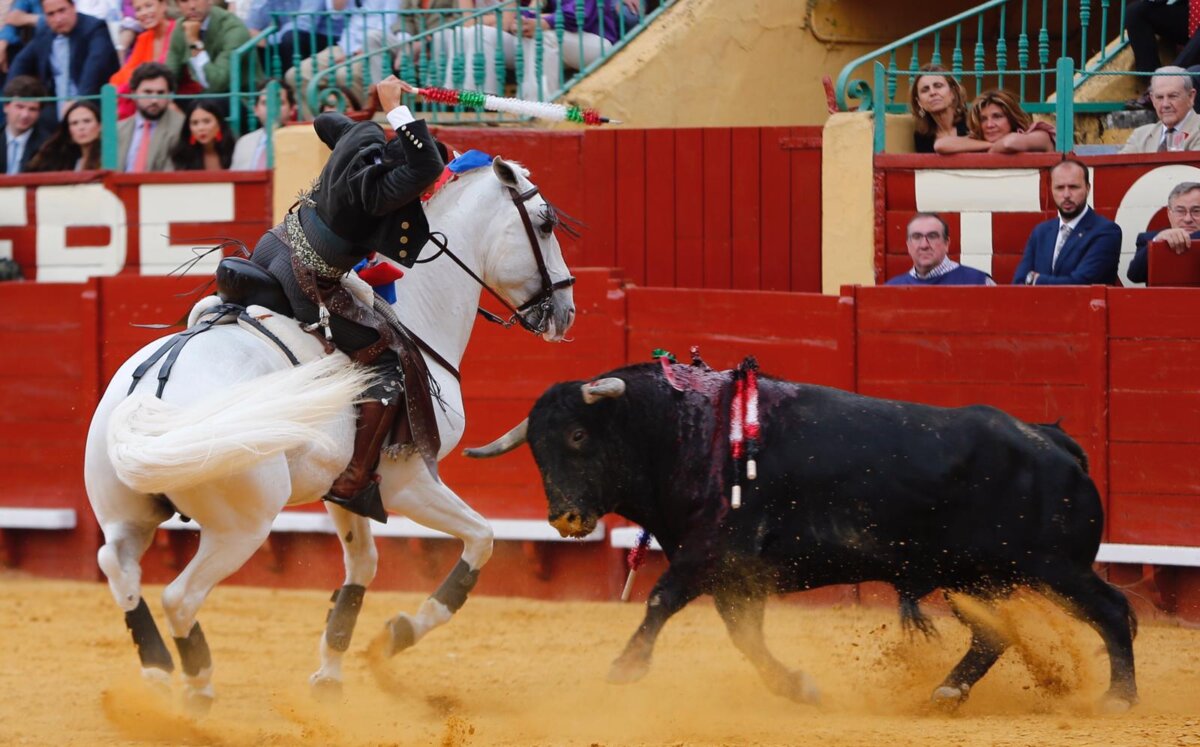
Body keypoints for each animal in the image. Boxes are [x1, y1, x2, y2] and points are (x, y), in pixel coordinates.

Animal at [83, 157, 576, 712]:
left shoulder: (347, 485)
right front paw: (399, 634)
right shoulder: (407, 480)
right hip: (242, 525)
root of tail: (158, 391)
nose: (566, 310)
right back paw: (197, 686)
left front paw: (331, 671)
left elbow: (362, 565)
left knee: (118, 565)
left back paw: (157, 672)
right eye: (545, 224)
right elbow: (482, 537)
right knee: (179, 597)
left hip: (127, 511)